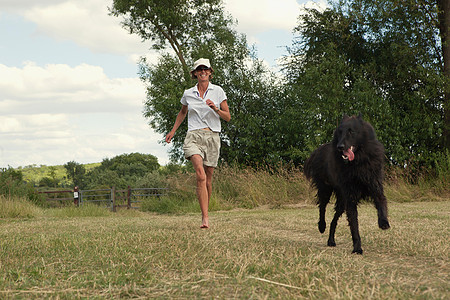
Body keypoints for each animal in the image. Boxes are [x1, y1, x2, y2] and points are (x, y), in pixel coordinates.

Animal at [302, 115, 390, 253]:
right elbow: (354, 225)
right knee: (322, 208)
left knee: (334, 220)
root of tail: (318, 150)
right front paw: (357, 248)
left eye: (351, 131)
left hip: (341, 201)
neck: (358, 163)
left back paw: (331, 241)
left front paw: (383, 222)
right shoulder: (350, 198)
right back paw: (321, 226)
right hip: (326, 189)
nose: (340, 147)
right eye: (340, 132)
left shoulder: (375, 187)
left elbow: (381, 203)